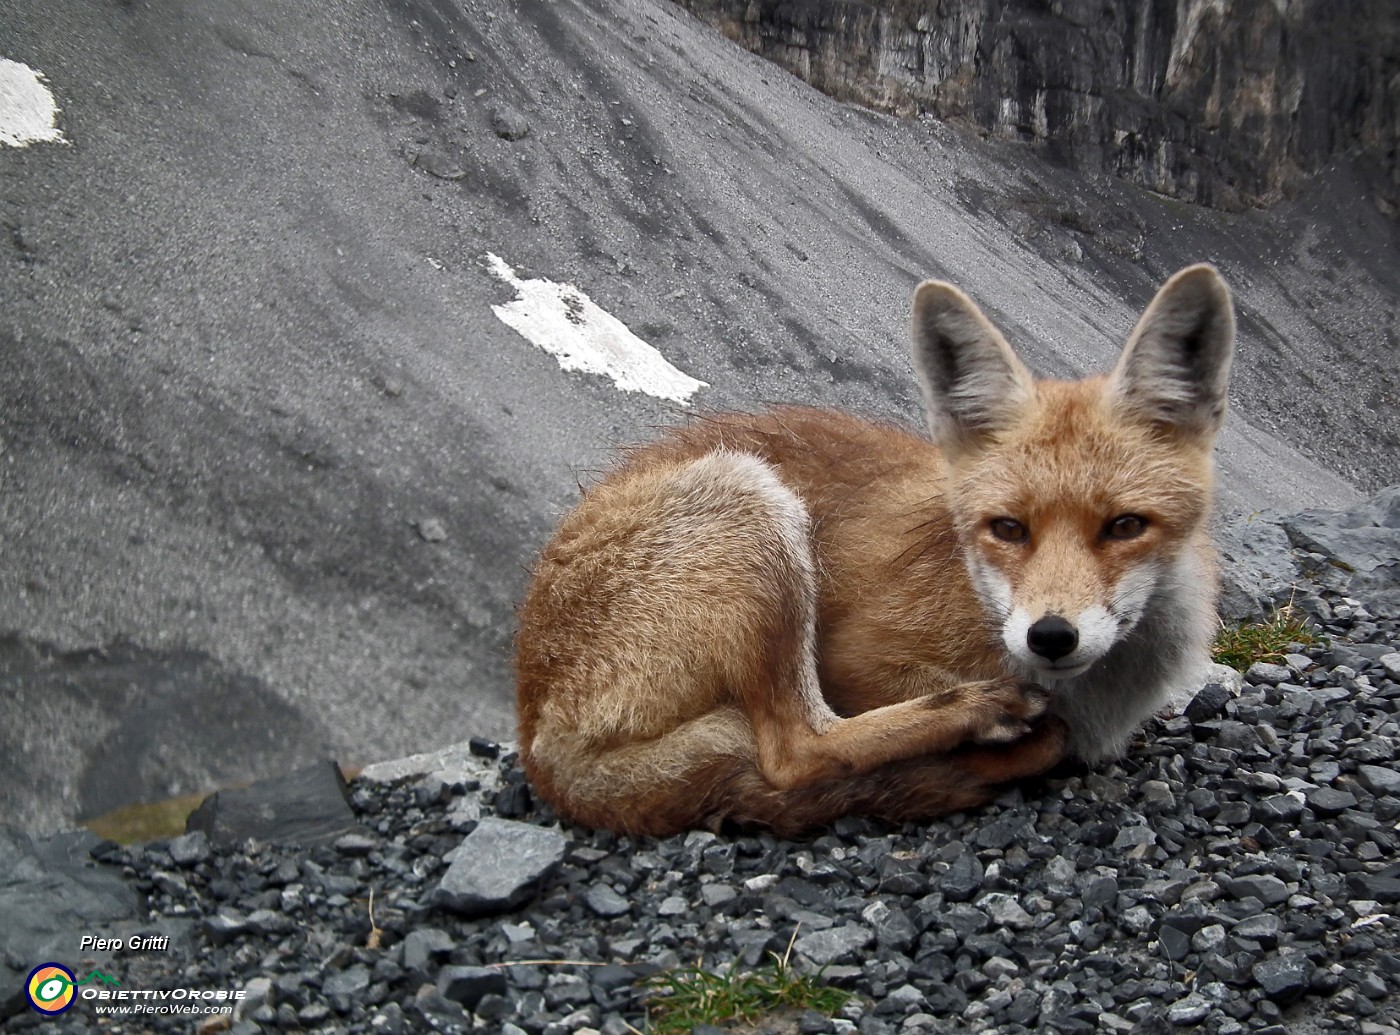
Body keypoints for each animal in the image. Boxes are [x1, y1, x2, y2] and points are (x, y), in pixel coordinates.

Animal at [515, 263, 1237, 840]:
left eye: (1125, 526)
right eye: (1007, 528)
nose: (1051, 636)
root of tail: (535, 738)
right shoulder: (858, 654)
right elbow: (1044, 731)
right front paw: (985, 739)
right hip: (751, 503)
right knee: (797, 750)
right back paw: (967, 725)